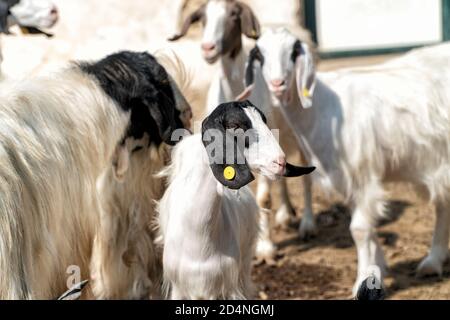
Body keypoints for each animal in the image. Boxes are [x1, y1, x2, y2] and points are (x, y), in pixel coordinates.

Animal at [158, 100, 316, 300]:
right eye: (235, 126)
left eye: (264, 120)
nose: (279, 162)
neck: (198, 241)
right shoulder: (178, 289)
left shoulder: (229, 286)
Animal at [243, 27, 450, 296]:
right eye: (260, 54)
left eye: (293, 52)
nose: (278, 84)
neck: (322, 108)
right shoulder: (348, 179)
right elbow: (366, 228)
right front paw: (377, 269)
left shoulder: (362, 173)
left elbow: (359, 230)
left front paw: (363, 279)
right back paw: (435, 260)